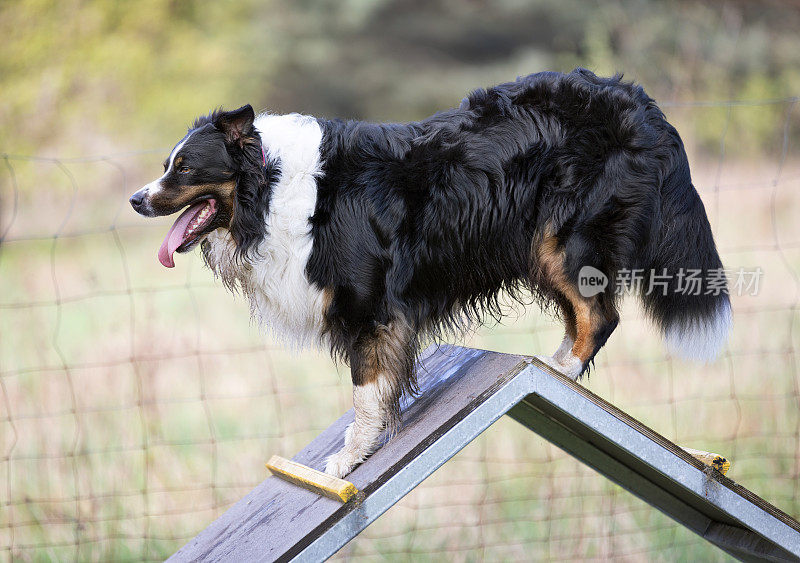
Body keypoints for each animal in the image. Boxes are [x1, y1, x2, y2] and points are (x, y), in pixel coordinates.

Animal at [130, 68, 732, 478]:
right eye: (167, 164)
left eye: (185, 168)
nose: (136, 199)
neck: (274, 186)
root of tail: (642, 103)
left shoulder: (369, 305)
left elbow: (366, 389)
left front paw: (349, 460)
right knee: (586, 313)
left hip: (564, 240)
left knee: (599, 315)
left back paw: (558, 369)